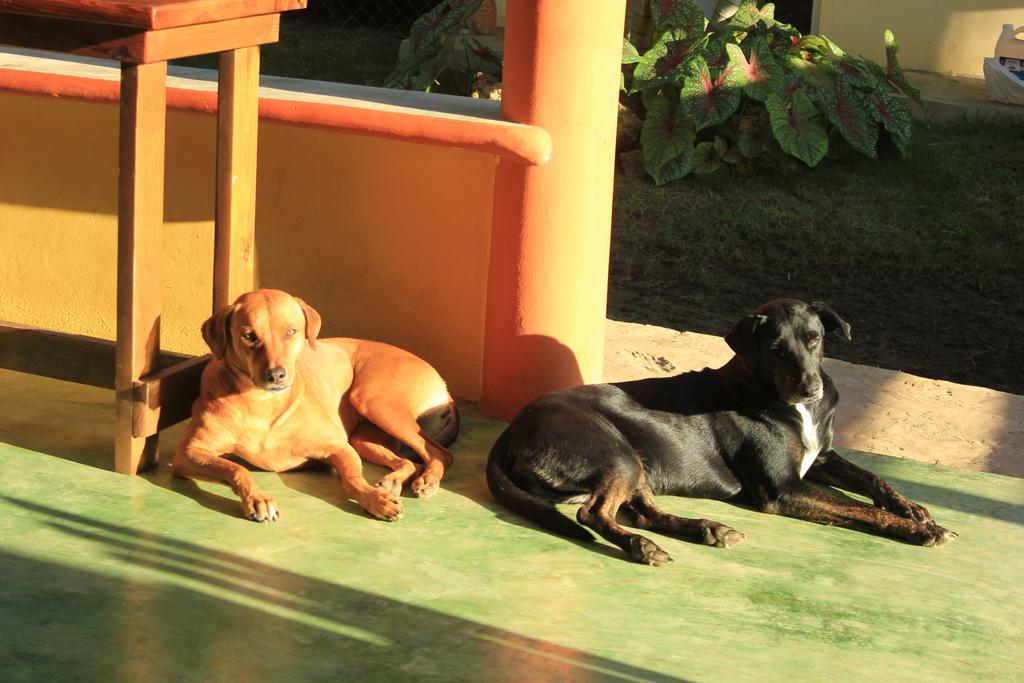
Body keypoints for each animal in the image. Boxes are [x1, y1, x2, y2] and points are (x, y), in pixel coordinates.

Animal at [174, 290, 458, 524]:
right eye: (249, 336)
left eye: (291, 332)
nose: (276, 375)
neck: (262, 405)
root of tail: (443, 385)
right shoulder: (188, 454)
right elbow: (236, 468)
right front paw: (257, 499)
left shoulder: (339, 447)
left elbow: (353, 480)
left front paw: (374, 500)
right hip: (364, 438)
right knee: (410, 461)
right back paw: (393, 481)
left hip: (374, 403)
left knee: (440, 453)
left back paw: (427, 480)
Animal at [483, 301, 954, 565]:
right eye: (775, 349)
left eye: (814, 339)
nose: (810, 388)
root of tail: (511, 432)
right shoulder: (782, 489)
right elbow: (856, 508)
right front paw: (918, 530)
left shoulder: (819, 458)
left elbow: (874, 480)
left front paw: (915, 510)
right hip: (615, 453)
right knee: (593, 513)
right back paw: (641, 547)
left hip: (636, 463)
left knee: (640, 511)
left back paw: (707, 530)